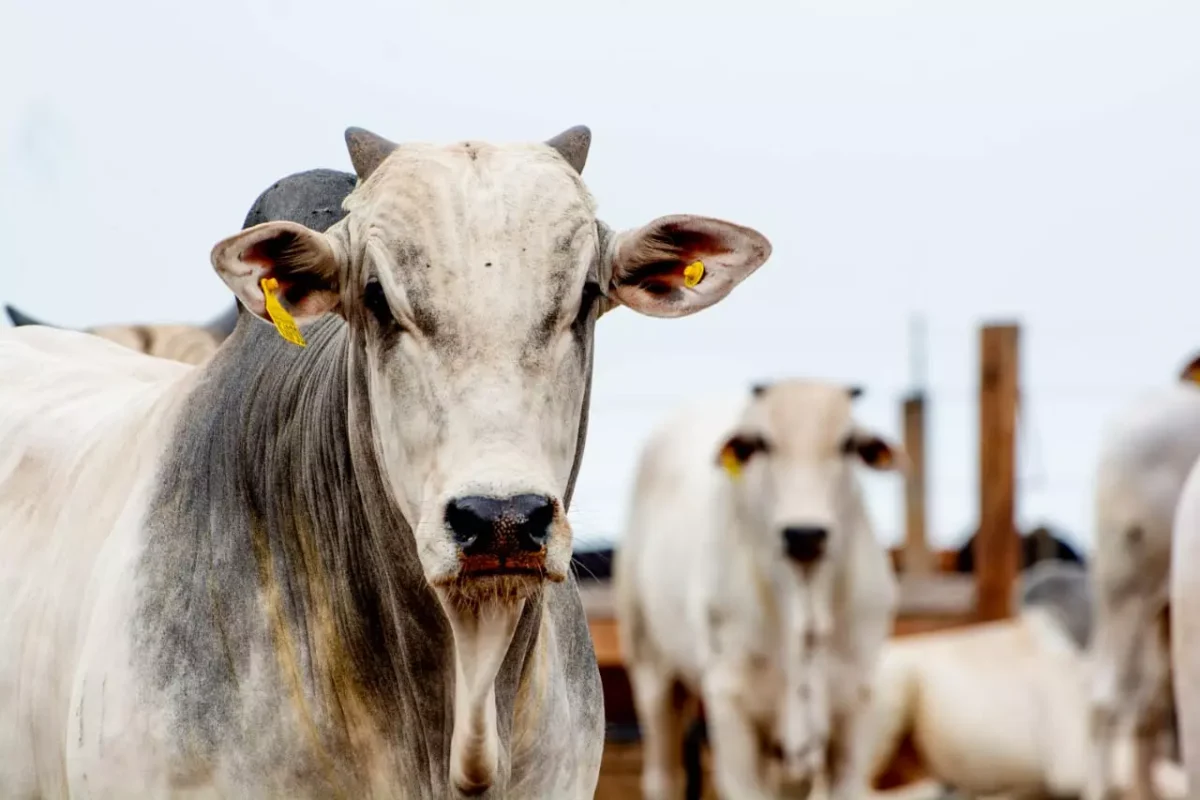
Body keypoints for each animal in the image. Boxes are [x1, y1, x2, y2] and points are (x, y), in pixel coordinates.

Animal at [613, 379, 903, 799]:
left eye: (848, 444)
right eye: (762, 444)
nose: (804, 534)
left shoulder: (856, 707)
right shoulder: (731, 706)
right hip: (651, 665)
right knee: (662, 774)